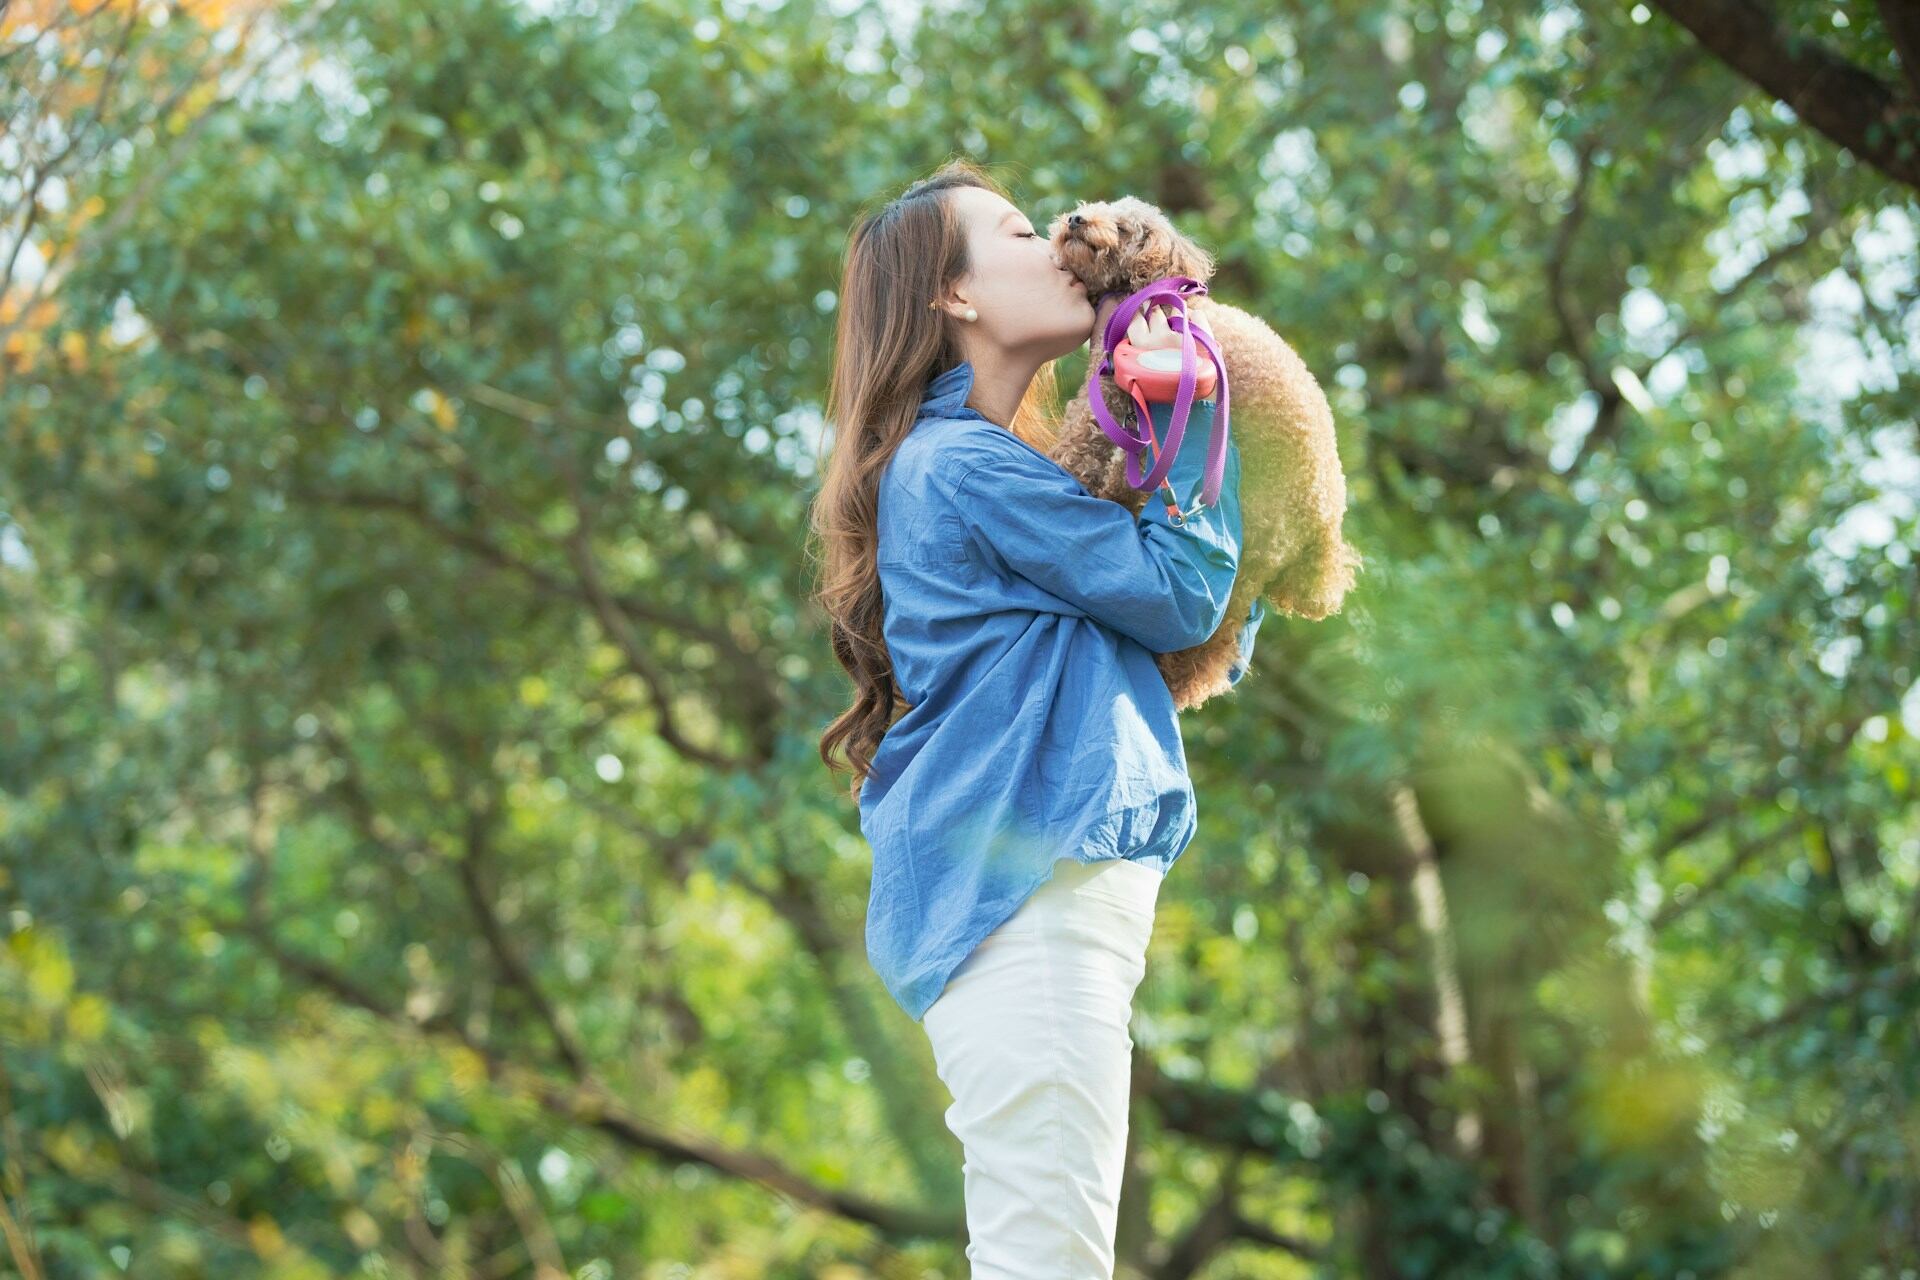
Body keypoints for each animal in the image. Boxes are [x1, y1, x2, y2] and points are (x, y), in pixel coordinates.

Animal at [1052, 197, 1367, 710]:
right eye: (1096, 207)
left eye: (1124, 227)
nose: (1077, 220)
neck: (1152, 292)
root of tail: (1326, 531)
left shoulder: (1110, 389)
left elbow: (1081, 440)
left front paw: (1062, 470)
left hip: (1256, 545)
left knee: (1209, 647)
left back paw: (1174, 684)